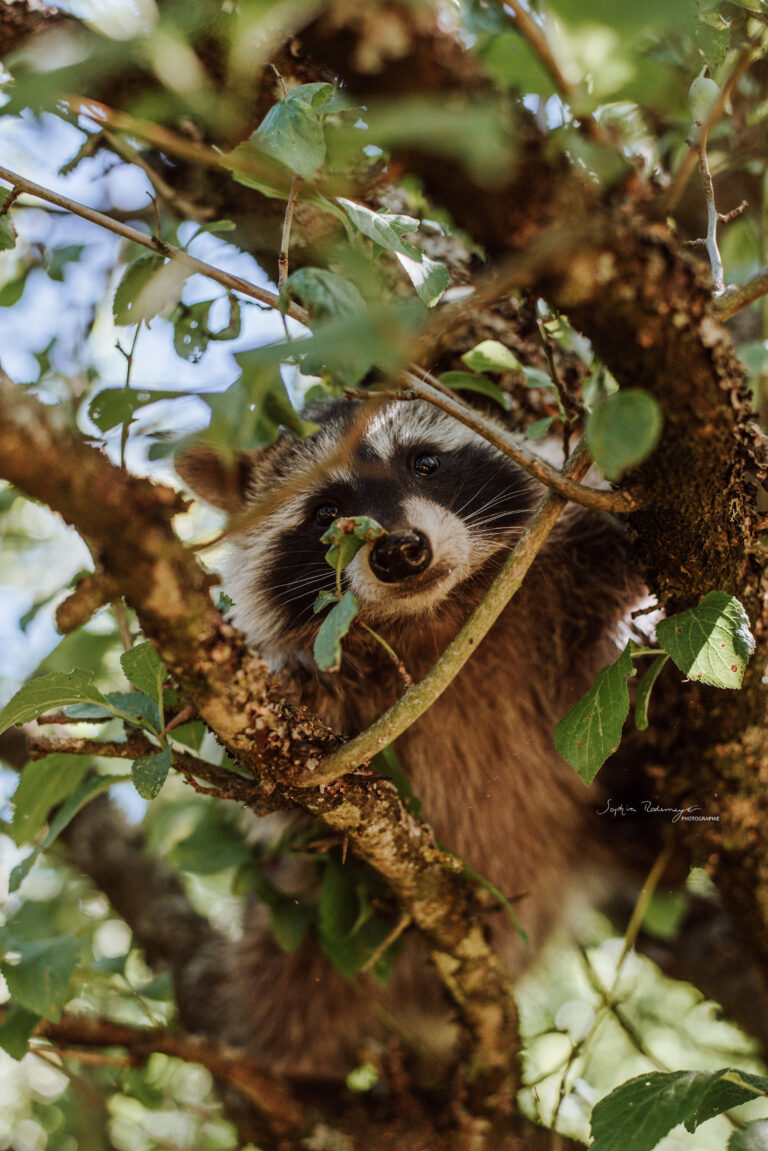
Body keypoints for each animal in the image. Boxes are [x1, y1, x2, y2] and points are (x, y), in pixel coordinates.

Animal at [177, 398, 640, 1077]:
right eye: (324, 513)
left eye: (424, 464)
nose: (398, 551)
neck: (435, 617)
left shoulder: (555, 608)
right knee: (278, 993)